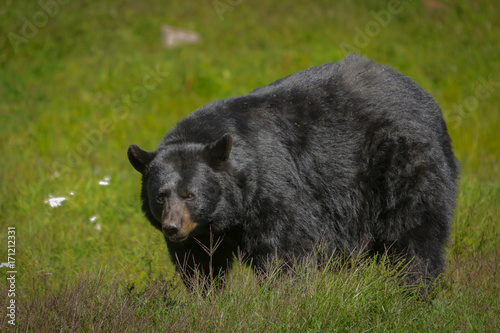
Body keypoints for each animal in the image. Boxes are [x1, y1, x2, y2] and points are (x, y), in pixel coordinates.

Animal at [127, 53, 458, 288]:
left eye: (190, 194)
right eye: (160, 196)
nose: (172, 227)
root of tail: (425, 97)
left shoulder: (273, 187)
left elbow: (285, 249)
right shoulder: (201, 232)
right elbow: (198, 263)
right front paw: (205, 296)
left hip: (403, 163)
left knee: (413, 234)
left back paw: (413, 287)